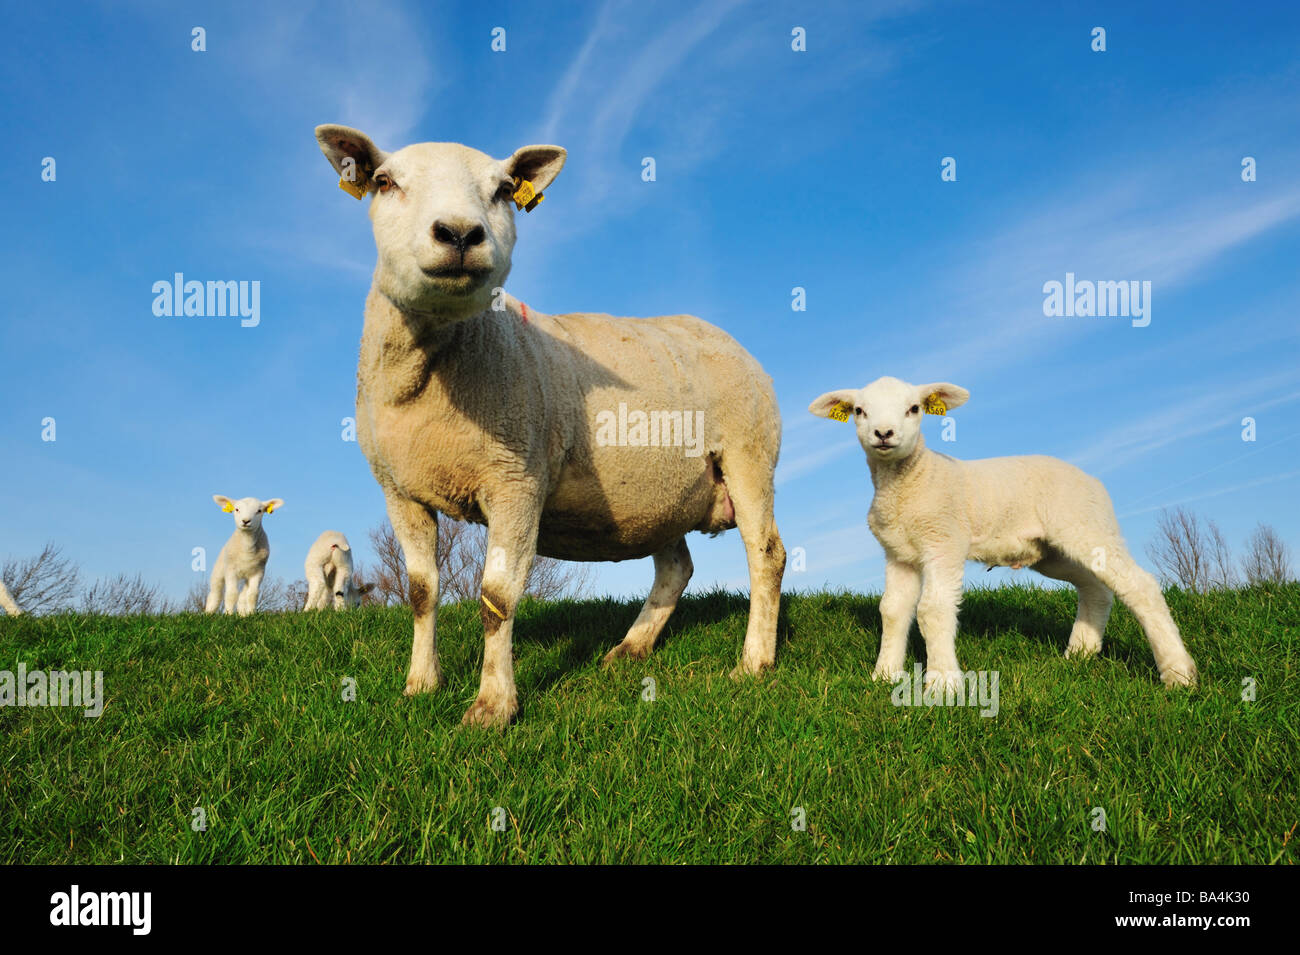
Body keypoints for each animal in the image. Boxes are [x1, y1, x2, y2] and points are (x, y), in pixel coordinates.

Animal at [315, 123, 786, 727]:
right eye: (383, 181)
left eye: (502, 190)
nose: (460, 233)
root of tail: (722, 335)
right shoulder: (400, 490)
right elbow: (421, 591)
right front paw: (420, 685)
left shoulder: (516, 479)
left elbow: (496, 598)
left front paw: (492, 706)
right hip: (662, 493)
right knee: (676, 567)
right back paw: (630, 649)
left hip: (749, 455)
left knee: (766, 554)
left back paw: (754, 662)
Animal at [809, 376, 1198, 690]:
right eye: (859, 410)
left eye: (914, 408)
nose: (884, 434)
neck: (912, 481)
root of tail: (1093, 480)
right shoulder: (899, 553)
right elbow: (892, 610)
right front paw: (885, 675)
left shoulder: (944, 542)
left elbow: (932, 610)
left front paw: (942, 683)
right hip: (1053, 551)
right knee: (1096, 587)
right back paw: (1080, 653)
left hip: (1088, 526)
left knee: (1141, 587)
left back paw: (1178, 673)